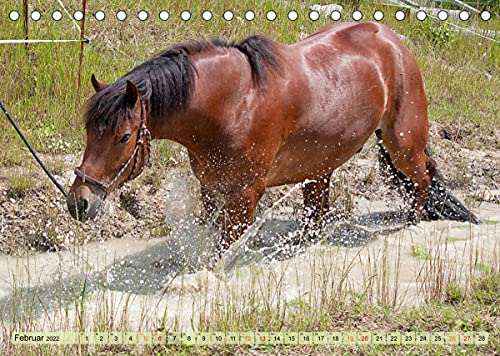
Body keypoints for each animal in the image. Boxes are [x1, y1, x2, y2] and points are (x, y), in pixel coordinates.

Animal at [66, 22, 476, 252]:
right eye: (88, 131)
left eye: (123, 137)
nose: (79, 203)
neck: (233, 103)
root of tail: (394, 41)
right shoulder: (211, 189)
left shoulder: (244, 196)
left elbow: (224, 250)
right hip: (321, 165)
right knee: (317, 211)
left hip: (402, 143)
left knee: (424, 175)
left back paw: (413, 221)